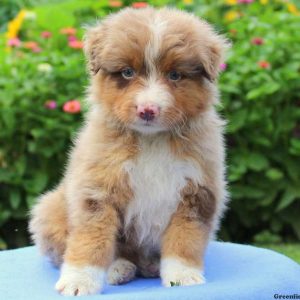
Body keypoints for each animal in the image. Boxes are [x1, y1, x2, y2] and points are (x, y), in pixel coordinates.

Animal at [29, 6, 229, 296]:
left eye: (175, 75)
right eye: (126, 73)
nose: (148, 110)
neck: (151, 140)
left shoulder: (197, 193)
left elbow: (184, 239)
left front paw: (182, 276)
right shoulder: (97, 189)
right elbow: (91, 240)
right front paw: (79, 281)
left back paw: (152, 266)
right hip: (50, 209)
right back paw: (119, 269)